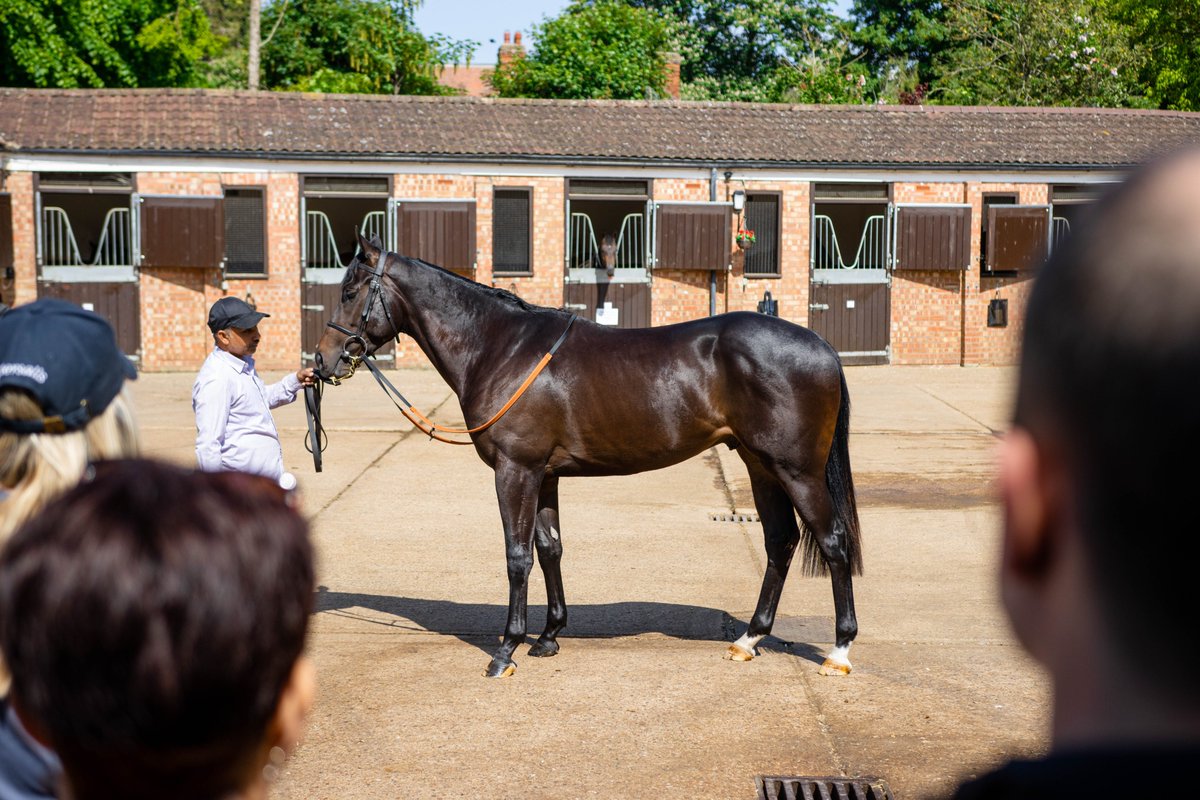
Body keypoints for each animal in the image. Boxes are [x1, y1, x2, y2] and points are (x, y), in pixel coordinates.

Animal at [316, 235, 864, 681]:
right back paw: (748, 639)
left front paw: (507, 650)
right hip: (760, 467)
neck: (500, 347)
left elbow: (517, 556)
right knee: (780, 543)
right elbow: (549, 548)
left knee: (832, 542)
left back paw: (839, 651)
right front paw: (547, 637)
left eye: (350, 291)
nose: (323, 361)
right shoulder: (545, 475)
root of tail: (822, 346)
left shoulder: (516, 472)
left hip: (797, 472)